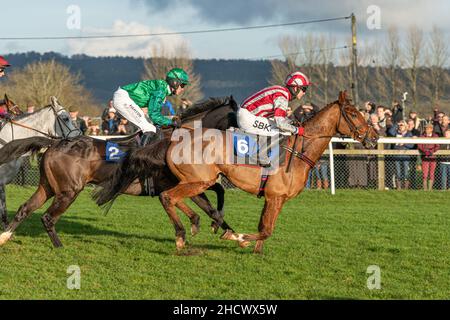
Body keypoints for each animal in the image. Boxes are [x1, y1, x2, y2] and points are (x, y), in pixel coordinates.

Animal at [96, 91, 378, 254]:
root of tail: (174, 140)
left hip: (198, 180)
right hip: (199, 180)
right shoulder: (275, 196)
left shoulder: (274, 199)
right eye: (352, 113)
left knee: (176, 198)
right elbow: (265, 230)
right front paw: (240, 236)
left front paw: (250, 246)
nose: (374, 136)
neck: (299, 151)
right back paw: (183, 236)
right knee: (169, 197)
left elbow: (264, 227)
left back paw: (193, 227)